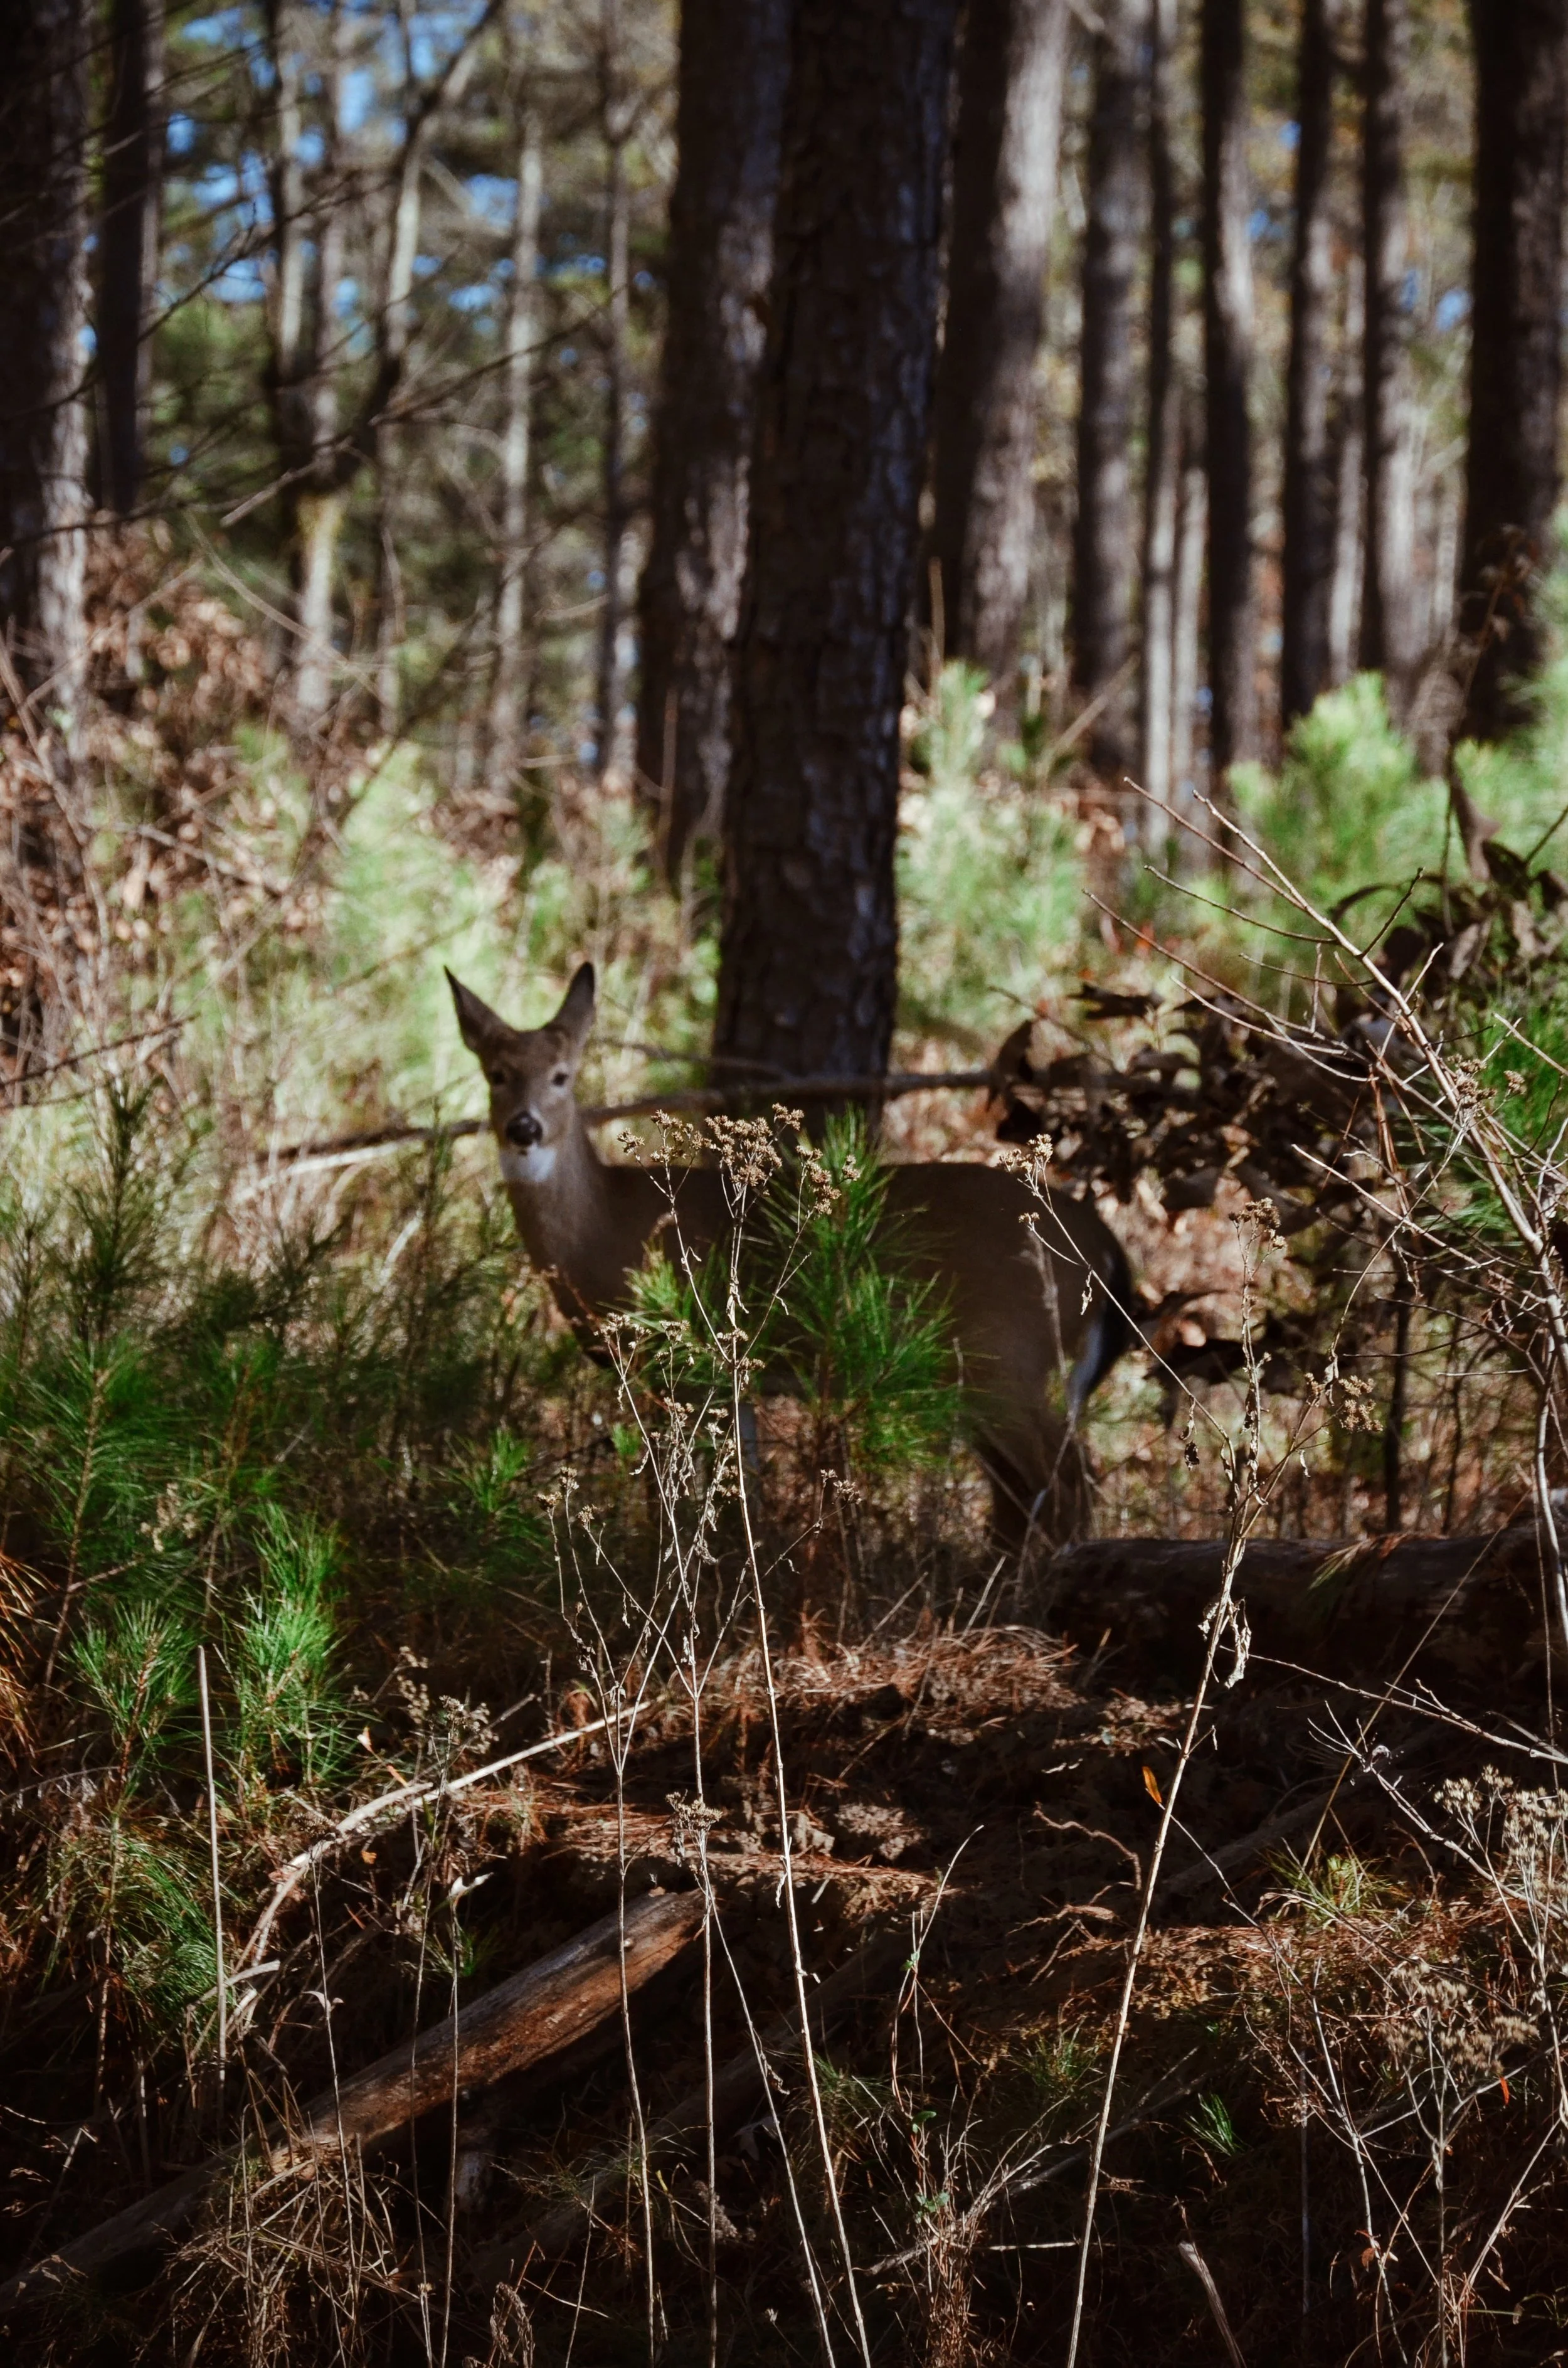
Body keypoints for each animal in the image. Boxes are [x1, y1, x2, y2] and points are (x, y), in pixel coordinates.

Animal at [447, 963, 1135, 1549]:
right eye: (496, 1074)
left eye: (562, 1075)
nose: (525, 1128)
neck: (607, 1231)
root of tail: (1106, 1248)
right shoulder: (730, 1376)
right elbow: (739, 1487)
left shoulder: (675, 1359)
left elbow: (670, 1493)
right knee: (1024, 1494)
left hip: (1010, 1353)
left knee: (1069, 1483)